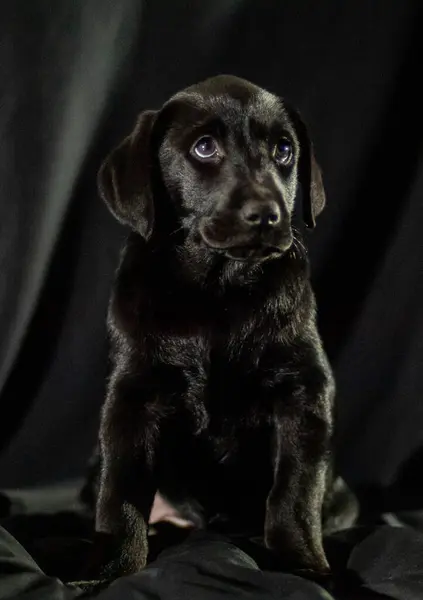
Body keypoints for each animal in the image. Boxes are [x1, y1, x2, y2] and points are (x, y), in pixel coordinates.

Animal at [96, 74, 342, 576]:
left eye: (284, 150)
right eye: (205, 148)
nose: (267, 214)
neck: (217, 290)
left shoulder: (306, 390)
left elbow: (296, 488)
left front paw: (302, 563)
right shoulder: (132, 396)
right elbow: (121, 490)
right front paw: (114, 569)